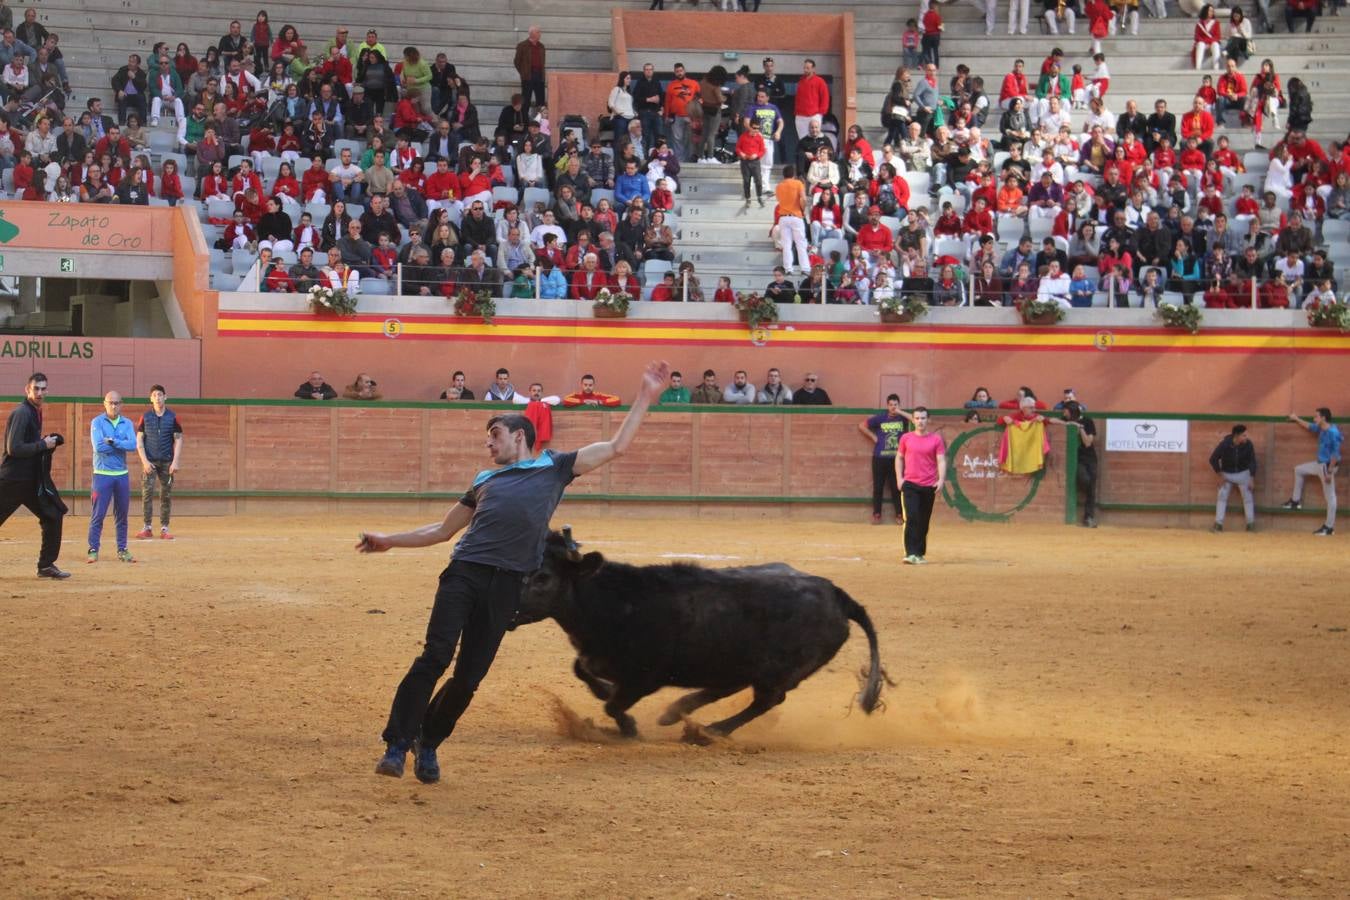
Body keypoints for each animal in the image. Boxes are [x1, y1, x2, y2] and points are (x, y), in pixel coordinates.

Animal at [507, 531, 885, 734]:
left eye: (543, 578)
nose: (508, 611)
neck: (613, 601)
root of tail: (837, 594)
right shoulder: (596, 659)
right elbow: (583, 671)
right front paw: (605, 691)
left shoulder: (645, 678)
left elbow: (613, 705)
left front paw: (629, 727)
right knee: (731, 687)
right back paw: (675, 712)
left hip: (779, 672)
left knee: (766, 700)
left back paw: (708, 731)